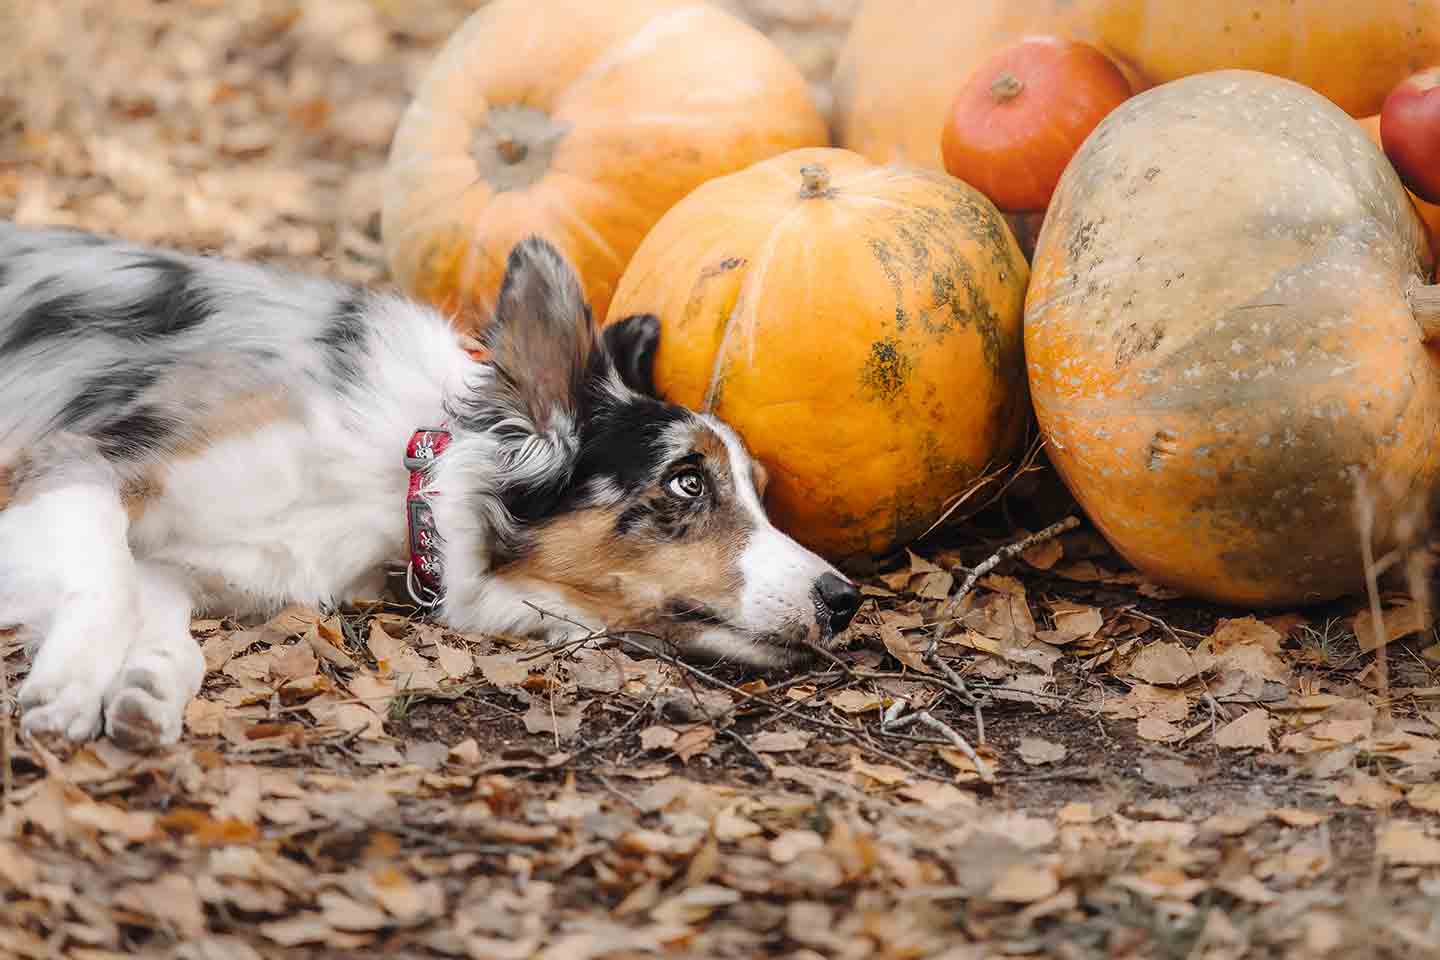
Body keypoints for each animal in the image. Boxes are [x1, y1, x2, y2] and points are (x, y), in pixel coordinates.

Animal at [0, 225, 852, 748]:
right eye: (685, 482)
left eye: (760, 489)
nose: (843, 599)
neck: (401, 468)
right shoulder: (77, 460)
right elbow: (107, 579)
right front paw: (69, 686)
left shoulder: (193, 562)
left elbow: (159, 615)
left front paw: (144, 687)